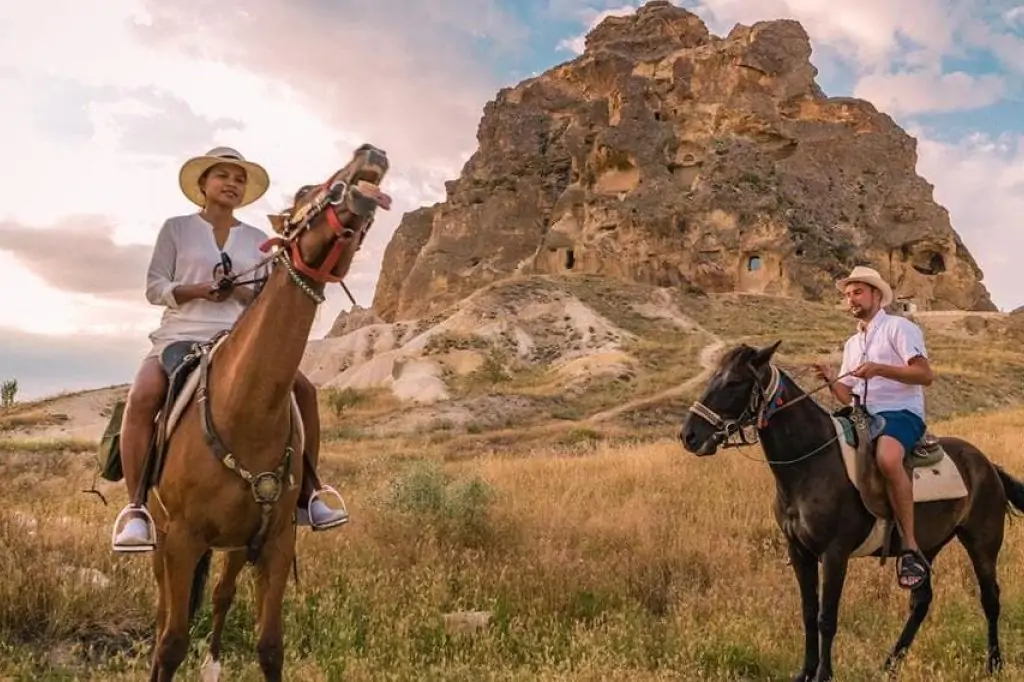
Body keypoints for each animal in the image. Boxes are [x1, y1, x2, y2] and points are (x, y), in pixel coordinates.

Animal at [138, 140, 389, 675]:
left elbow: (270, 644)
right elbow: (171, 642)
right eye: (303, 191)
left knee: (220, 594)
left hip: (236, 545)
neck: (245, 412)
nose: (372, 151)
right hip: (162, 536)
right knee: (165, 610)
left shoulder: (274, 543)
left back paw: (213, 664)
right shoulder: (181, 540)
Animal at [679, 339, 1024, 679]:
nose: (688, 435)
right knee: (921, 601)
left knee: (990, 598)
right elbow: (808, 613)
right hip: (926, 546)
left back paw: (994, 664)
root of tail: (986, 464)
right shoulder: (799, 551)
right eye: (713, 376)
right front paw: (805, 672)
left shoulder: (835, 553)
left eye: (735, 382)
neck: (811, 464)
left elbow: (826, 618)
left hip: (982, 543)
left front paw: (823, 674)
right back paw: (890, 664)